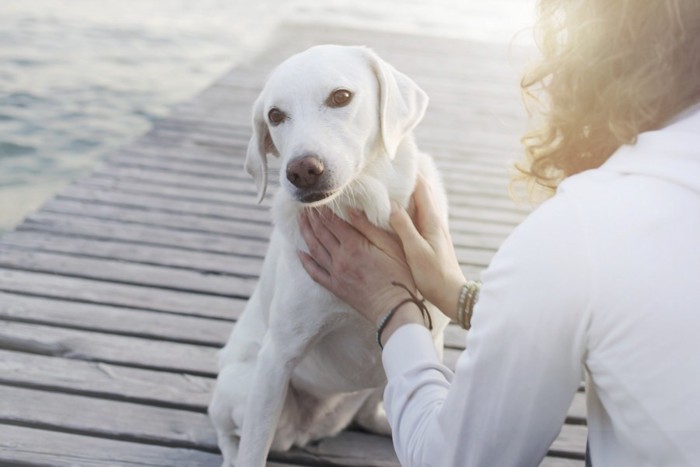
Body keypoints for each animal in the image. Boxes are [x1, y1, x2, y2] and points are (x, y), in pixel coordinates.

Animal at [209, 44, 448, 467]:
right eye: (275, 116)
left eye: (341, 97)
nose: (301, 170)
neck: (362, 206)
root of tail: (308, 430)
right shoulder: (276, 358)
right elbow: (253, 450)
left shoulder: (431, 338)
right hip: (244, 386)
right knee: (229, 435)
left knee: (374, 414)